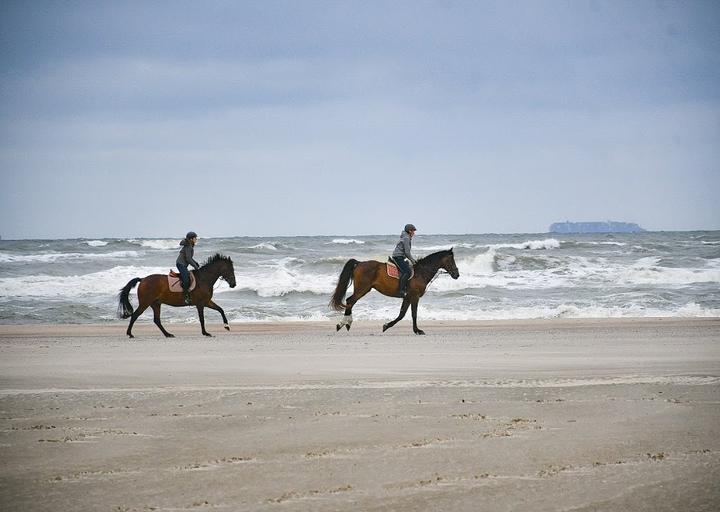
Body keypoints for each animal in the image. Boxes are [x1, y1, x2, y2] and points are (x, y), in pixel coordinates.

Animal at [330, 249, 458, 336]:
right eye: (451, 261)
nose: (457, 274)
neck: (420, 273)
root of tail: (359, 263)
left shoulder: (407, 297)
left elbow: (402, 314)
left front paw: (386, 326)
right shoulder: (415, 296)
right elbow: (414, 314)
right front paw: (417, 330)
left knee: (350, 301)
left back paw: (345, 324)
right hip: (362, 289)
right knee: (350, 301)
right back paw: (343, 324)